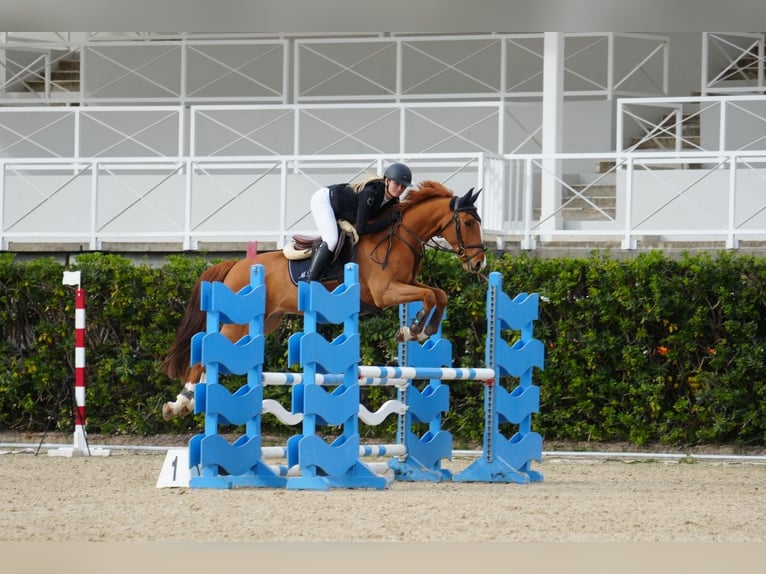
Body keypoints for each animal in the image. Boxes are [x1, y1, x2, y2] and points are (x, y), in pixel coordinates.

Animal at [160, 180, 486, 419]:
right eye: (469, 223)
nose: (479, 263)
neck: (399, 237)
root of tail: (237, 265)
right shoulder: (385, 292)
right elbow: (429, 295)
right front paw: (414, 329)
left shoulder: (405, 284)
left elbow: (438, 294)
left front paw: (421, 330)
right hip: (238, 322)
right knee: (205, 349)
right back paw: (181, 402)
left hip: (265, 321)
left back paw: (192, 400)